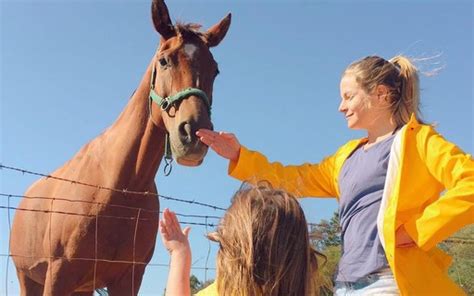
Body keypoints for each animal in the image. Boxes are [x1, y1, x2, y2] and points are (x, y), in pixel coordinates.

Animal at [8, 1, 229, 294]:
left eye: (215, 69)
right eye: (164, 60)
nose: (193, 134)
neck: (118, 186)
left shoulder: (128, 277)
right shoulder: (58, 274)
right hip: (30, 280)